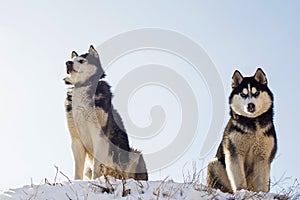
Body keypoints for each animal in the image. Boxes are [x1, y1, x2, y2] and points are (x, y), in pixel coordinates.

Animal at [64, 45, 148, 181]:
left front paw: (96, 181)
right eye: (72, 60)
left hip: (134, 154)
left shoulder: (99, 137)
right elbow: (78, 171)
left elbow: (97, 167)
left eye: (81, 60)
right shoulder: (76, 140)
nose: (68, 63)